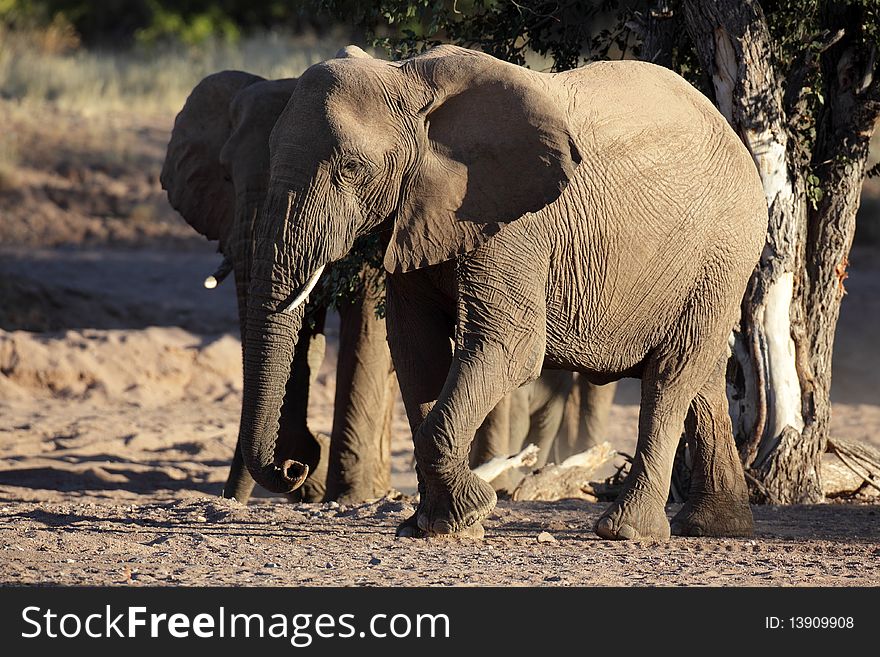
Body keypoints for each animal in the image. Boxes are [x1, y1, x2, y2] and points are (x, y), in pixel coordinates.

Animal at [232, 43, 764, 540]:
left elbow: (509, 346)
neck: (409, 81)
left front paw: (471, 512)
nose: (294, 466)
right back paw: (716, 526)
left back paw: (628, 531)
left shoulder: (511, 222)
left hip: (722, 250)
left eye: (350, 169)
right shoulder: (419, 213)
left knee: (670, 376)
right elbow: (416, 349)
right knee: (703, 379)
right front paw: (436, 525)